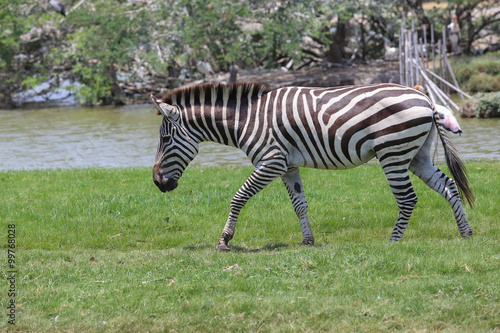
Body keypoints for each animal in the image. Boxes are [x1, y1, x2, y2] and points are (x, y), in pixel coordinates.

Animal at [151, 81, 472, 250]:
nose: (157, 183)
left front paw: (224, 240)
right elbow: (299, 204)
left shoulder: (271, 160)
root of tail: (424, 96)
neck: (247, 119)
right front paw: (307, 240)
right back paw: (466, 233)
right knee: (448, 185)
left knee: (408, 198)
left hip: (393, 153)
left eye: (165, 139)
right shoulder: (288, 166)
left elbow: (238, 197)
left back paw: (393, 241)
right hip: (416, 155)